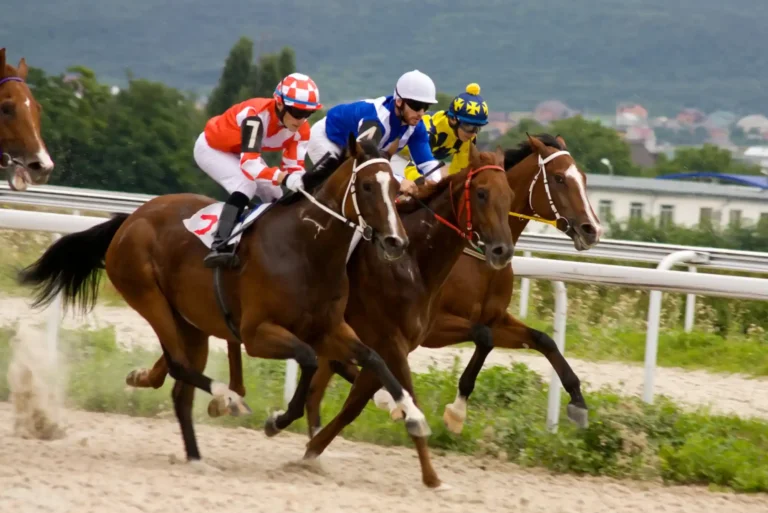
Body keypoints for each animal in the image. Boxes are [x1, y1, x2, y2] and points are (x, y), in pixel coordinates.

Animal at [17, 134, 433, 467]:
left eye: (396, 188)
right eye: (366, 186)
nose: (396, 241)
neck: (306, 249)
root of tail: (131, 219)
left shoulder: (330, 328)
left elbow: (374, 358)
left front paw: (412, 413)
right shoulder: (257, 333)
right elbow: (309, 360)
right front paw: (277, 420)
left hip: (191, 322)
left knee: (180, 388)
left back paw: (196, 457)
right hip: (148, 296)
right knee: (179, 366)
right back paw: (227, 398)